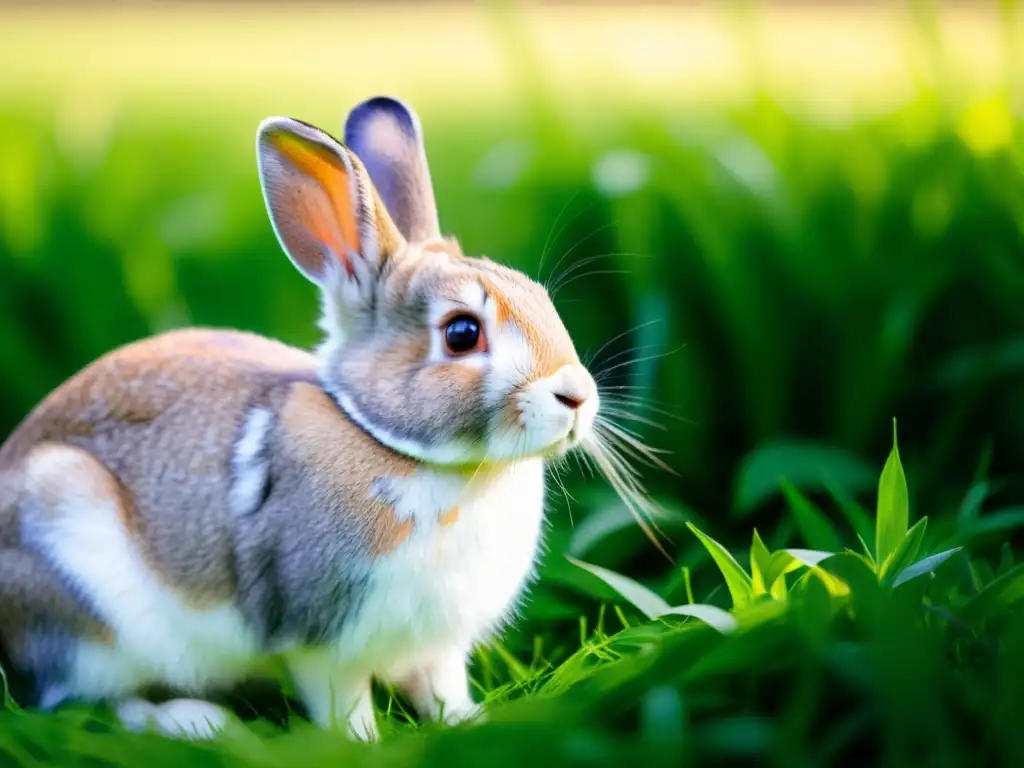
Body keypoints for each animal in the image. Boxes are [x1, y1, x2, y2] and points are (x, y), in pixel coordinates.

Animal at [0, 93, 598, 741]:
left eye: (540, 297)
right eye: (461, 333)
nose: (578, 396)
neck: (392, 442)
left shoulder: (436, 646)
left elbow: (441, 686)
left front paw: (467, 722)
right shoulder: (319, 639)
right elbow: (341, 699)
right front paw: (363, 744)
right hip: (85, 604)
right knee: (84, 702)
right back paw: (193, 721)